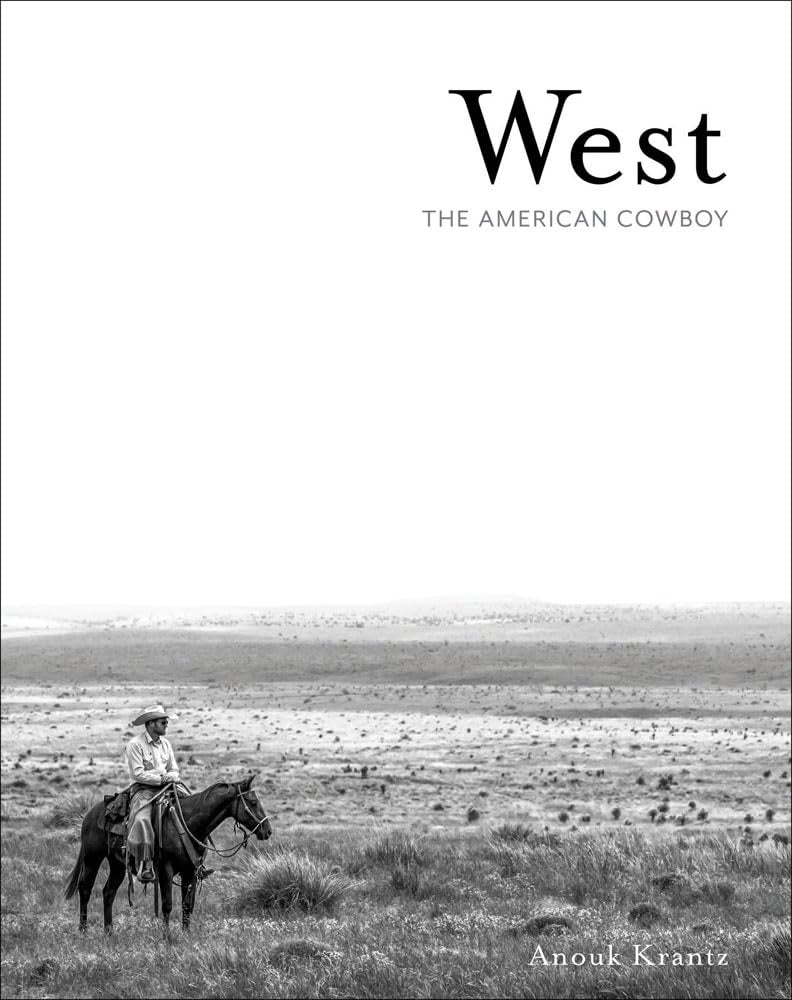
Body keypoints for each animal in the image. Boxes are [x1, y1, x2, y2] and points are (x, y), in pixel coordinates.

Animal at [63, 776, 272, 932]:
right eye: (253, 802)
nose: (268, 831)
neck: (188, 823)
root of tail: (90, 814)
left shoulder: (190, 871)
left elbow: (187, 905)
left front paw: (185, 935)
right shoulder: (165, 870)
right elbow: (167, 904)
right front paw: (166, 937)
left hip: (117, 865)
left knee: (108, 892)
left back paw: (109, 932)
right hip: (92, 858)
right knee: (85, 889)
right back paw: (83, 930)